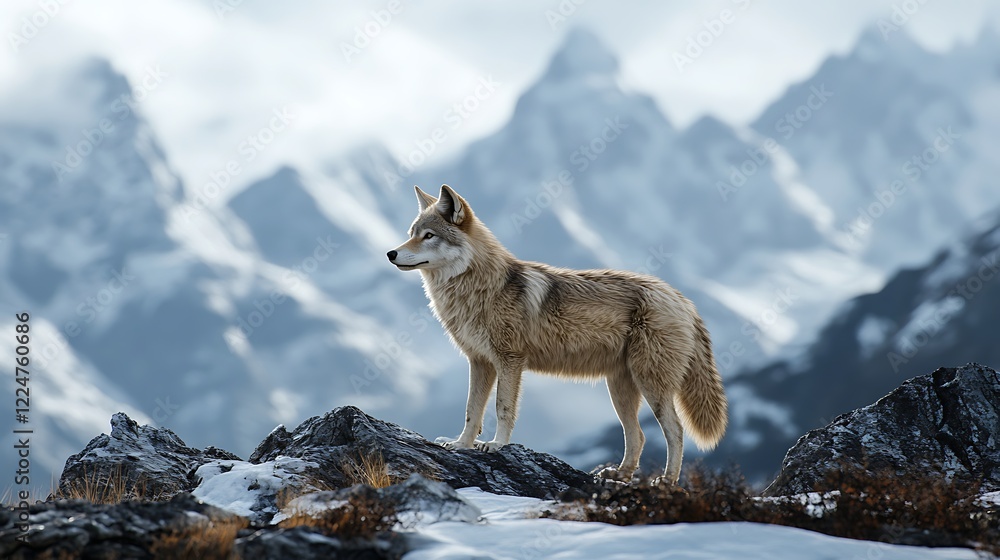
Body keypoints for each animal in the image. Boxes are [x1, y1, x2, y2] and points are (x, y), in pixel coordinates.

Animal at [387, 185, 727, 483]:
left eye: (428, 236)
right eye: (411, 234)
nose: (391, 253)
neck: (479, 287)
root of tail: (681, 298)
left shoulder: (509, 361)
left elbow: (502, 409)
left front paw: (496, 445)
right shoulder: (479, 362)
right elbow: (472, 411)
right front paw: (461, 445)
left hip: (650, 385)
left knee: (675, 432)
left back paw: (667, 481)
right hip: (620, 389)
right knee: (638, 435)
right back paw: (619, 475)